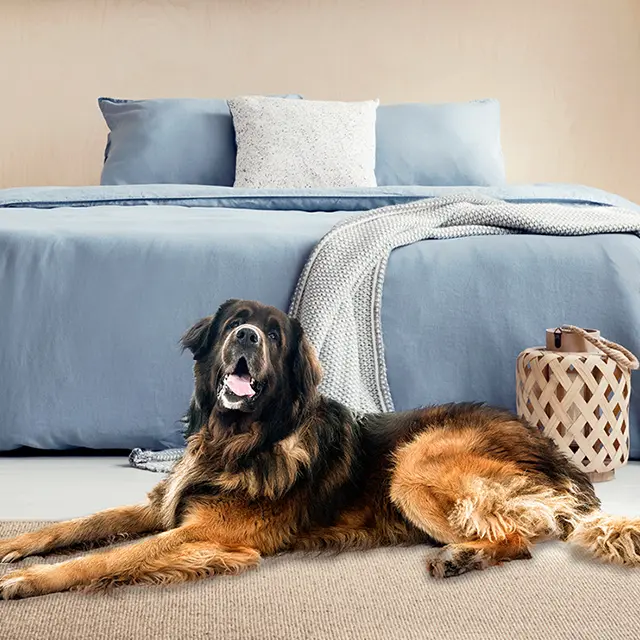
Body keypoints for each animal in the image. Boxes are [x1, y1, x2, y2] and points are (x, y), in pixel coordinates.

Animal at [1, 300, 640, 600]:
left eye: (273, 334)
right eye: (234, 322)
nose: (246, 337)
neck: (238, 440)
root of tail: (559, 458)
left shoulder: (200, 534)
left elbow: (100, 559)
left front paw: (24, 581)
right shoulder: (161, 509)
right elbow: (73, 526)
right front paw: (13, 547)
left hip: (412, 466)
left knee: (517, 540)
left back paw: (461, 558)